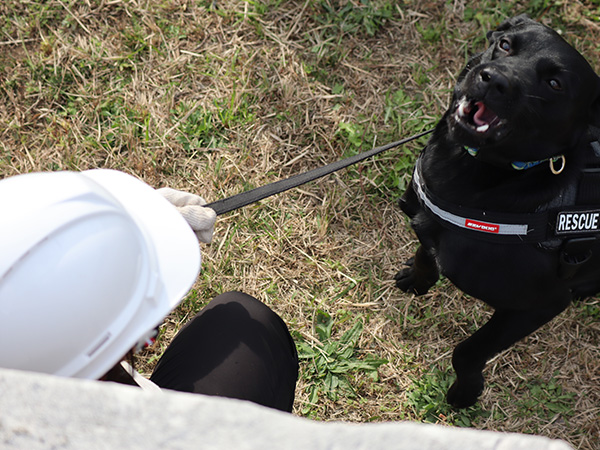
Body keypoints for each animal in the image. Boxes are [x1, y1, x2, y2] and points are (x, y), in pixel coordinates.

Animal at [394, 14, 600, 408]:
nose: (494, 80)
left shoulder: (539, 305)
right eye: (505, 45)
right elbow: (425, 253)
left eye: (554, 83)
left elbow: (468, 352)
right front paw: (417, 280)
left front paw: (464, 393)